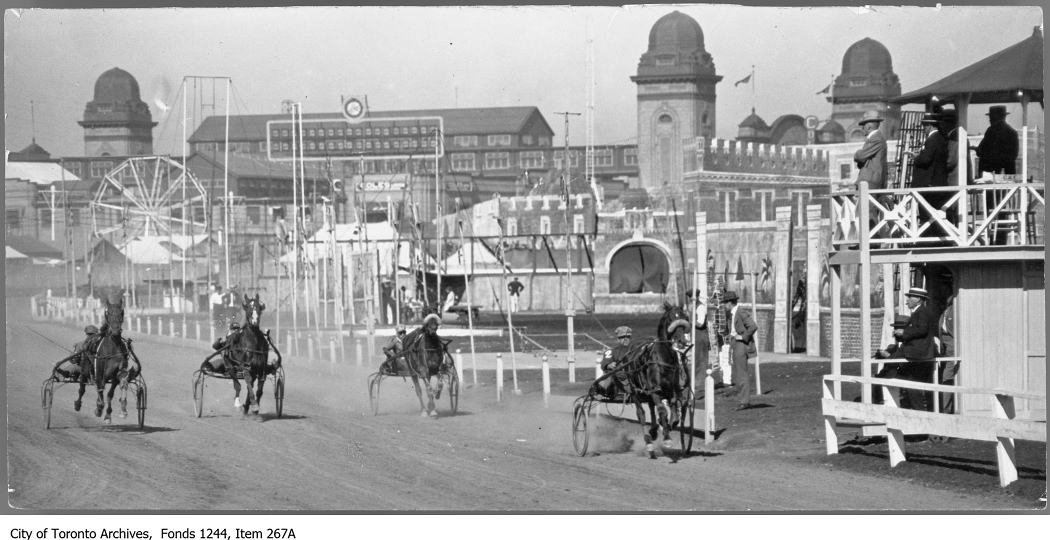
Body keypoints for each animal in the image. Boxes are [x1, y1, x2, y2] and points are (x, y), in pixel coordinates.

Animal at [617, 300, 692, 455]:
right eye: (671, 318)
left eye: (685, 317)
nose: (681, 340)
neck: (664, 359)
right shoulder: (656, 390)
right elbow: (662, 411)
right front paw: (667, 438)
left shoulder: (671, 391)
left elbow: (674, 414)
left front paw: (666, 428)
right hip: (635, 391)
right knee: (641, 413)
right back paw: (648, 441)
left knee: (652, 407)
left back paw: (653, 431)